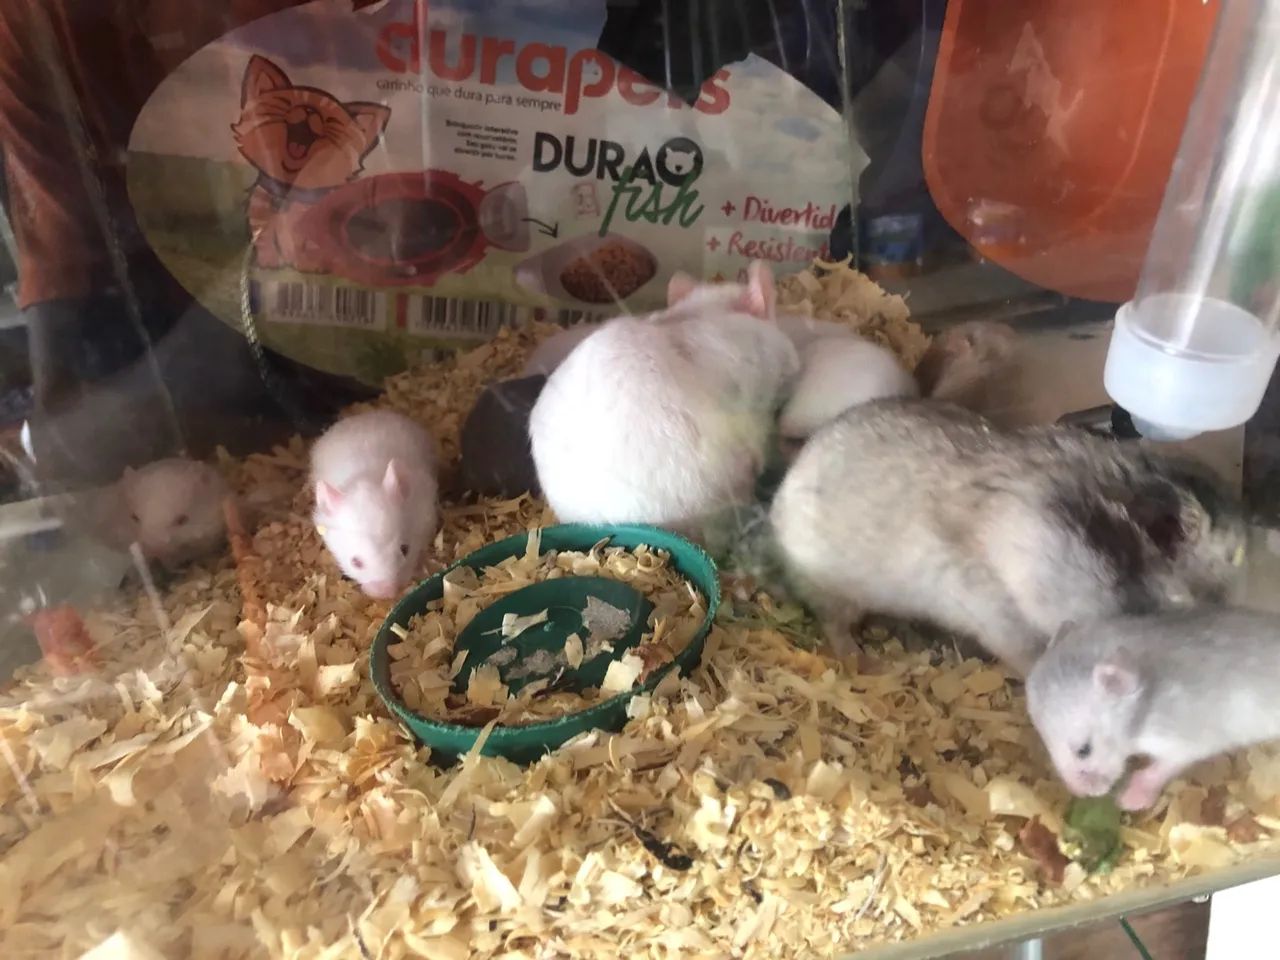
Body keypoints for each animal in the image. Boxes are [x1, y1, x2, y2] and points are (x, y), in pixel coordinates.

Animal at [770, 399, 1246, 675]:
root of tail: (779, 495)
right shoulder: (996, 609)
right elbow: (1028, 655)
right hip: (833, 586)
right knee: (834, 623)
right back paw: (861, 660)